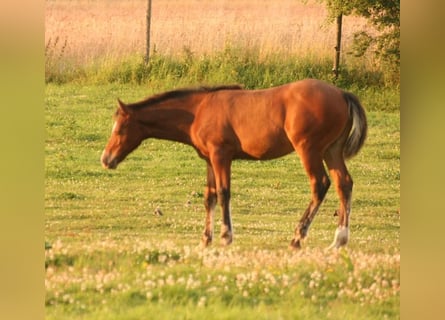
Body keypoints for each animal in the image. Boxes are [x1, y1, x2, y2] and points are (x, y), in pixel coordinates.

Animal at [102, 79, 366, 249]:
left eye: (120, 129)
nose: (106, 159)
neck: (198, 111)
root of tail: (342, 94)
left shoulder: (221, 155)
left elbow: (223, 193)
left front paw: (225, 236)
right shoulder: (210, 159)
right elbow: (209, 197)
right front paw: (205, 239)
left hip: (308, 149)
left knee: (320, 184)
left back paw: (297, 238)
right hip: (331, 150)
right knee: (344, 183)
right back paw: (339, 240)